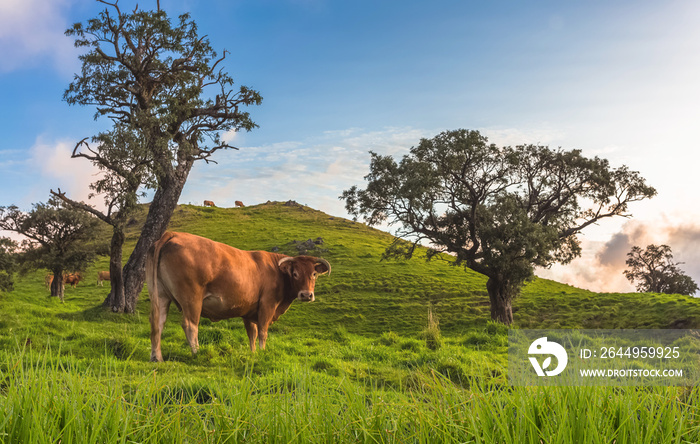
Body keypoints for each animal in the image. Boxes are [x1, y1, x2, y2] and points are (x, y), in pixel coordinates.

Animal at [146, 231, 330, 362]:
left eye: (314, 274)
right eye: (295, 273)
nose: (306, 294)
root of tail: (172, 233)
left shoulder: (249, 312)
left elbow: (252, 334)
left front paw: (253, 354)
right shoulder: (267, 305)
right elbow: (262, 332)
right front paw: (262, 353)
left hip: (160, 295)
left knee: (158, 323)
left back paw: (157, 357)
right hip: (192, 299)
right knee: (190, 325)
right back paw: (197, 353)